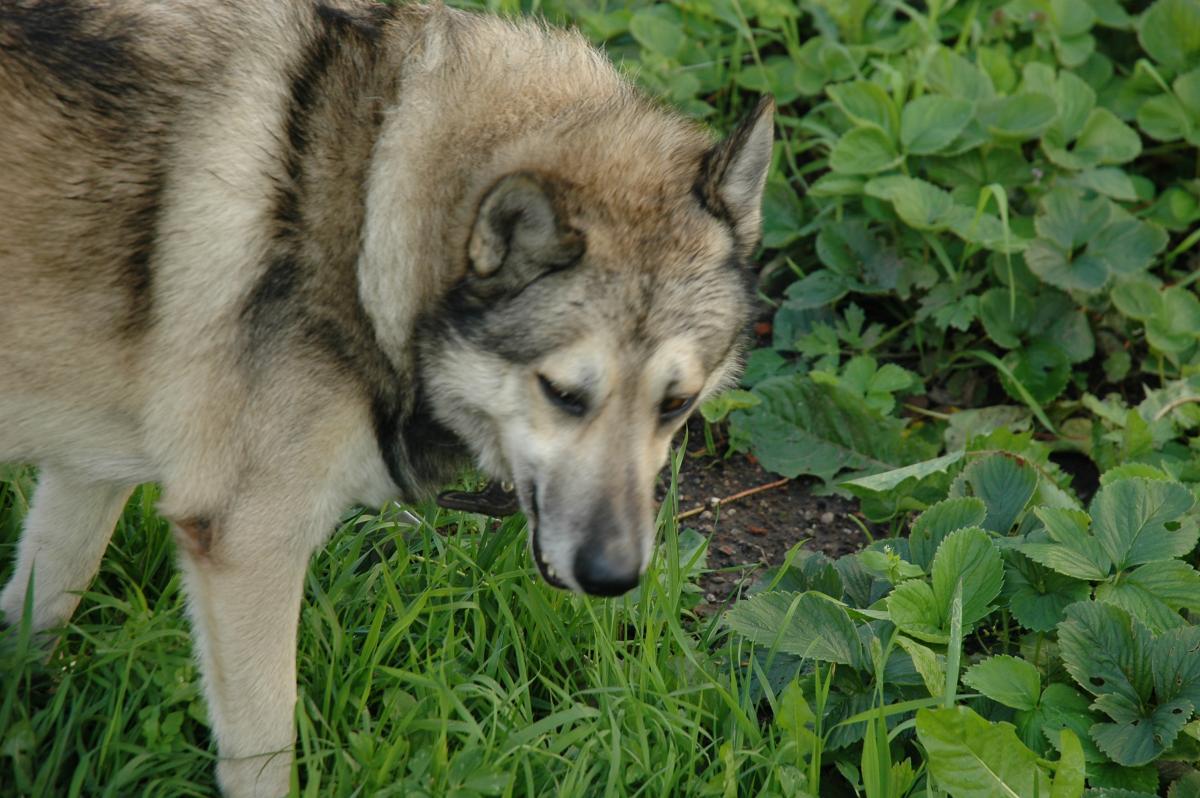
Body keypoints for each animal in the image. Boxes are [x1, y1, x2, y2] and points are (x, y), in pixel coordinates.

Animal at [0, 0, 773, 794]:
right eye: (563, 393)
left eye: (676, 404)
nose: (614, 578)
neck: (367, 208)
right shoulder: (247, 546)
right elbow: (265, 754)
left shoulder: (89, 476)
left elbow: (37, 608)